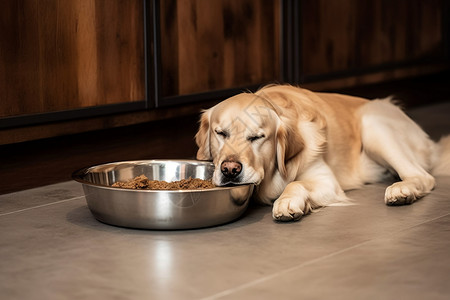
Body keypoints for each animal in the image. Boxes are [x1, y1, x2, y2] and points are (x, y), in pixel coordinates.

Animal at [196, 84, 450, 220]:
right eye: (221, 133)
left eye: (257, 137)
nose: (230, 169)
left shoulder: (326, 180)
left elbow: (295, 183)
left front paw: (287, 202)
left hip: (372, 124)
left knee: (422, 176)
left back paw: (402, 190)